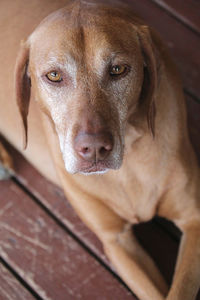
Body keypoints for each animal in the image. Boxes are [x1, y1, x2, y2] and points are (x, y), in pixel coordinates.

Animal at [0, 0, 200, 300]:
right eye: (54, 75)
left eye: (118, 70)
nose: (94, 149)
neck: (128, 165)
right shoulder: (116, 242)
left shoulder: (193, 220)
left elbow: (178, 292)